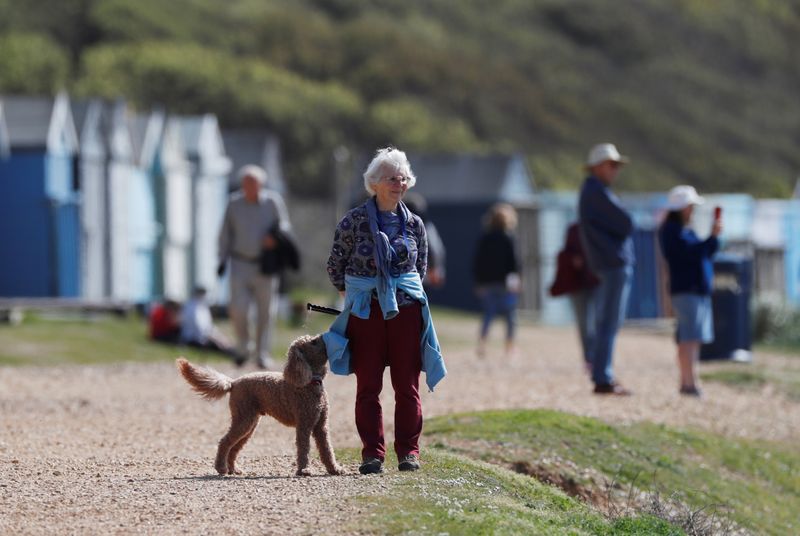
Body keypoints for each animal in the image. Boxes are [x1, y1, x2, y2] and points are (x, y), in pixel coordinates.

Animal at [177, 336, 342, 478]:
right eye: (313, 342)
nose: (326, 337)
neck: (309, 384)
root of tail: (233, 383)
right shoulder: (304, 425)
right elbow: (304, 449)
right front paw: (304, 470)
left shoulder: (321, 427)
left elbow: (327, 450)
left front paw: (334, 469)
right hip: (244, 420)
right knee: (224, 442)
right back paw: (221, 468)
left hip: (249, 424)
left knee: (234, 448)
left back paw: (233, 469)